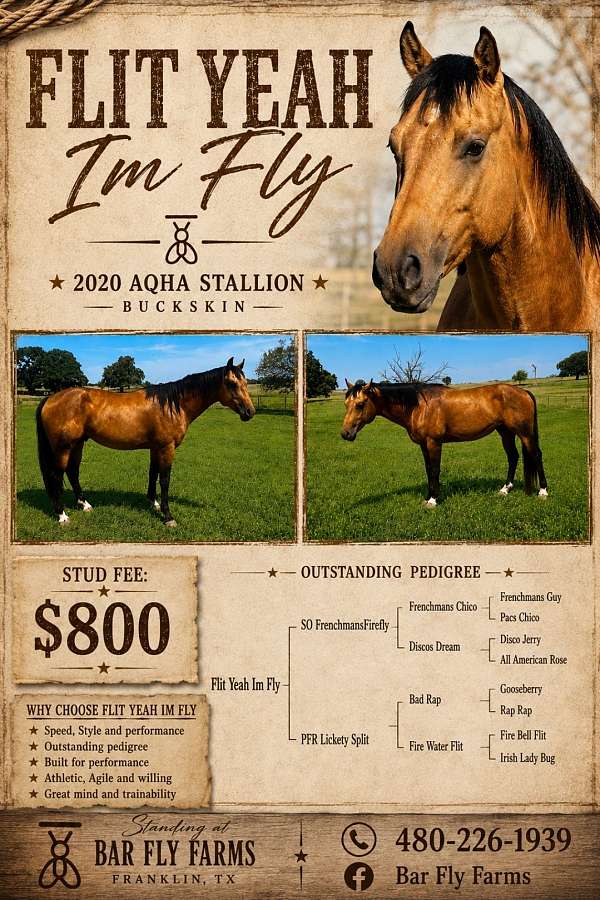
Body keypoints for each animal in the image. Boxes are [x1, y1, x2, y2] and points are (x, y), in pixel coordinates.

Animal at [35, 357, 255, 526]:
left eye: (245, 383)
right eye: (232, 384)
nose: (250, 412)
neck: (173, 404)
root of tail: (51, 398)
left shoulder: (156, 448)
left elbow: (153, 473)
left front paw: (154, 504)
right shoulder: (167, 448)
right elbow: (165, 479)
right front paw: (168, 516)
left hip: (78, 444)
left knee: (73, 472)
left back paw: (84, 505)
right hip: (63, 447)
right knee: (56, 475)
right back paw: (62, 515)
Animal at [341, 380, 547, 506]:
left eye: (360, 404)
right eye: (346, 404)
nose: (345, 433)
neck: (419, 406)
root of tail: (524, 391)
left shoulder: (434, 443)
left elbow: (434, 469)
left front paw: (433, 500)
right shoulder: (424, 445)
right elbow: (428, 470)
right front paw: (428, 497)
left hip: (525, 434)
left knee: (536, 455)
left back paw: (543, 492)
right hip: (505, 432)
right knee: (513, 457)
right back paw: (505, 490)